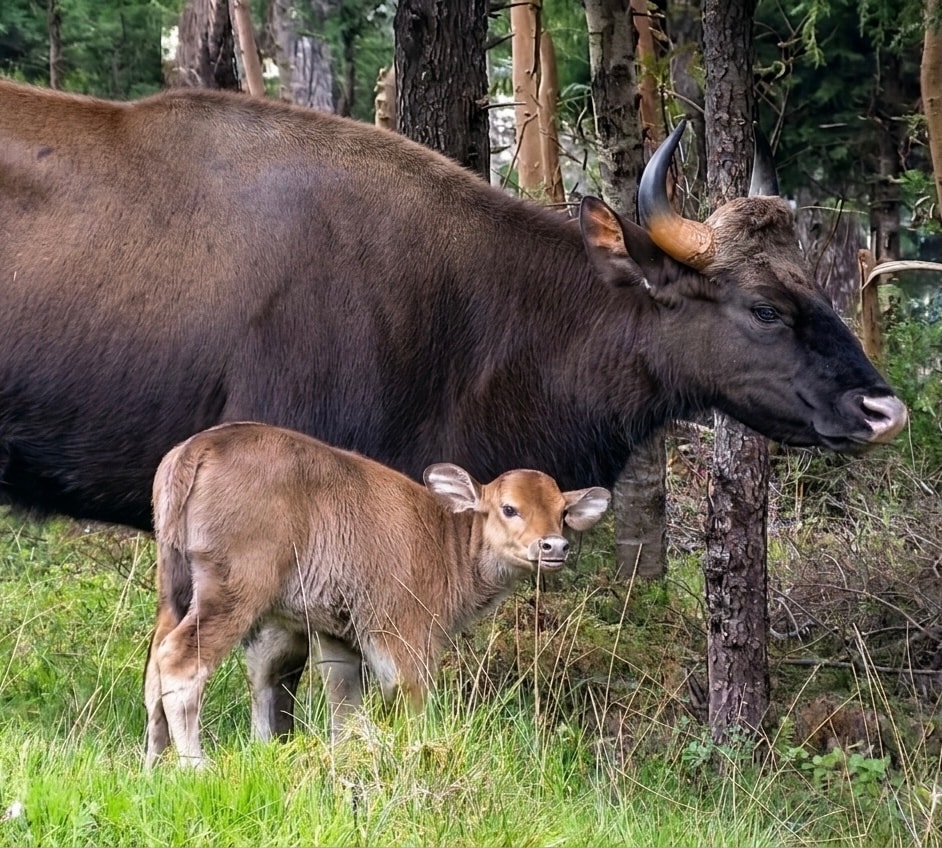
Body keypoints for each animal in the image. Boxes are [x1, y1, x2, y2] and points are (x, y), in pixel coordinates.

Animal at [143, 421, 611, 767]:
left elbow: (342, 710)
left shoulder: (337, 637)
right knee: (182, 663)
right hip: (232, 594)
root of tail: (200, 446)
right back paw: (196, 768)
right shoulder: (407, 642)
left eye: (562, 512)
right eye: (509, 508)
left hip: (174, 590)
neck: (447, 539)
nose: (553, 547)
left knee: (155, 668)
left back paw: (151, 770)